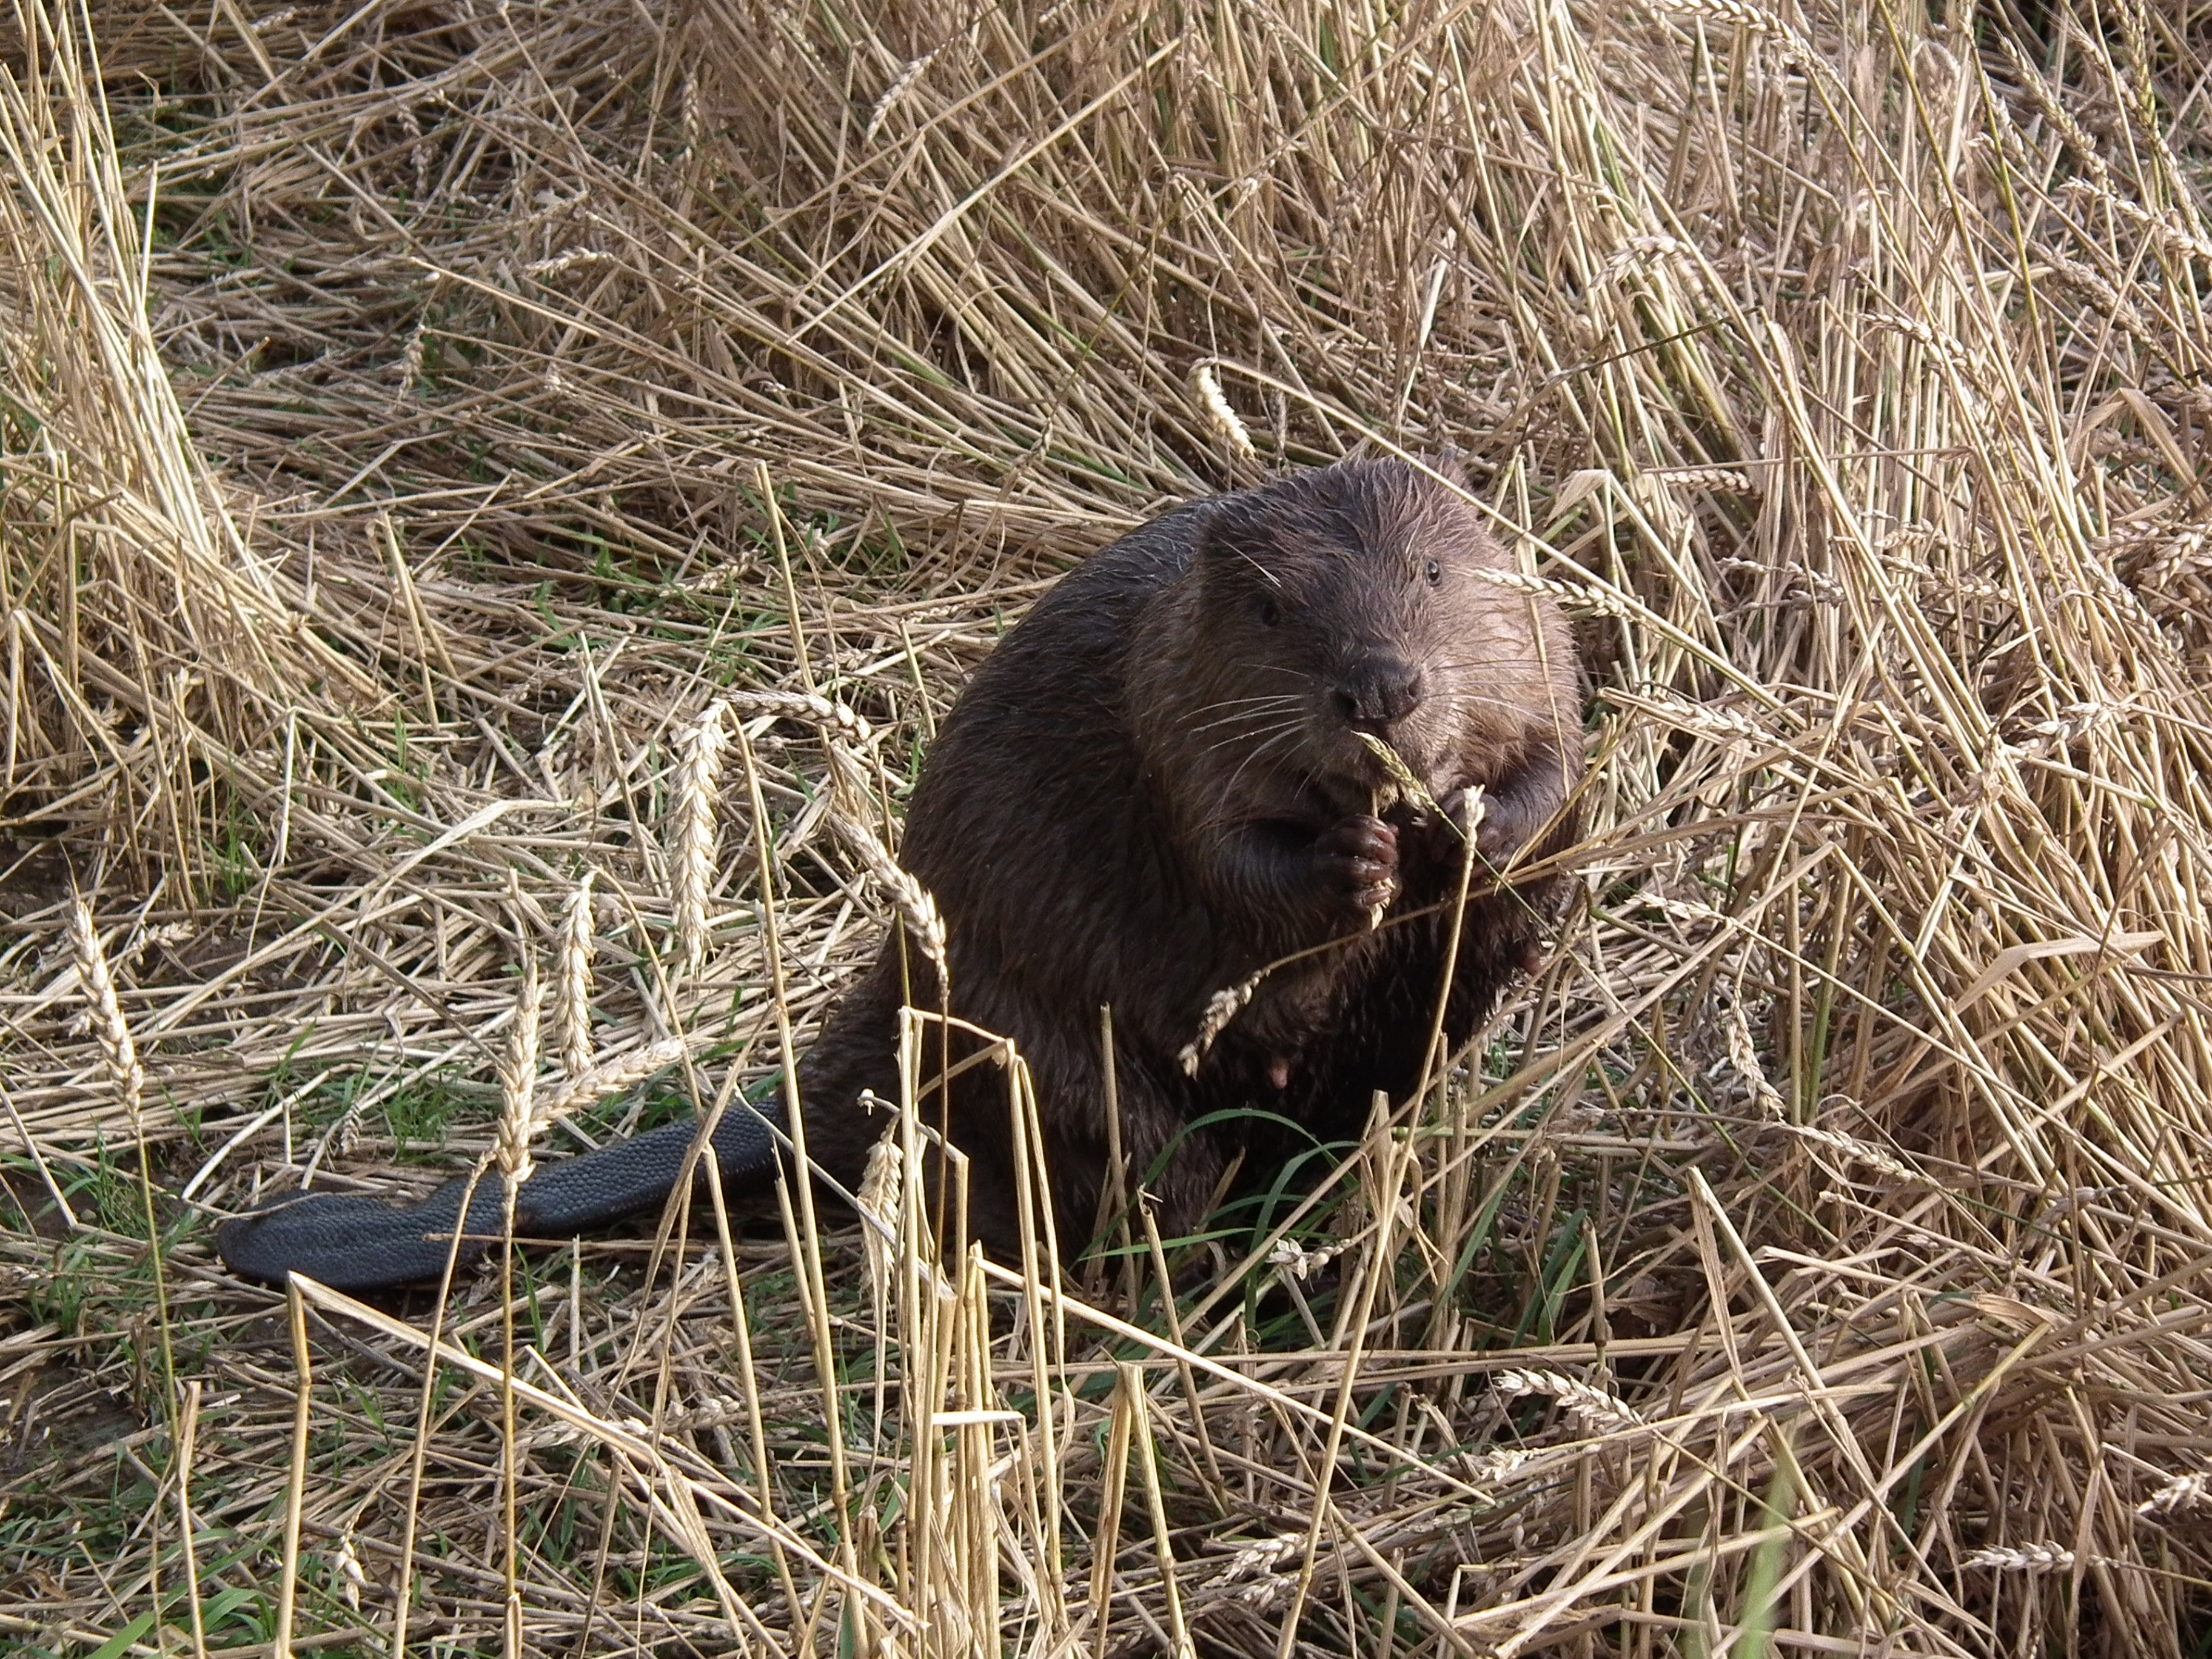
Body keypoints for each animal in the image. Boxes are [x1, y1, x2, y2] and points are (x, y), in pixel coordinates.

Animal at [215, 462, 1583, 1292]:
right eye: (1269, 611)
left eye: (1435, 573)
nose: (1381, 689)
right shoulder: (1168, 698)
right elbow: (1221, 854)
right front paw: (1361, 858)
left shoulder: (1535, 642)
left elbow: (1560, 756)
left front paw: (1461, 825)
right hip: (1044, 1054)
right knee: (1142, 1173)